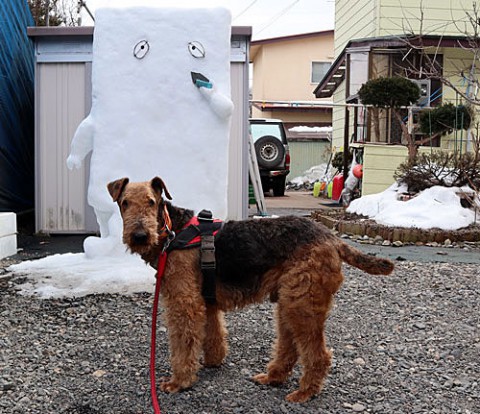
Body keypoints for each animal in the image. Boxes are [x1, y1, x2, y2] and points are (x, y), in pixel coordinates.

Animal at [109, 176, 394, 402]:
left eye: (151, 202)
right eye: (125, 203)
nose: (139, 236)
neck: (171, 233)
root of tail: (333, 239)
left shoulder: (184, 302)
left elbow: (183, 344)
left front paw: (179, 381)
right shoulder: (207, 302)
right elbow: (213, 334)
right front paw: (213, 361)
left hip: (301, 304)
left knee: (318, 355)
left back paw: (304, 392)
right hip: (290, 302)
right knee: (289, 348)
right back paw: (273, 377)